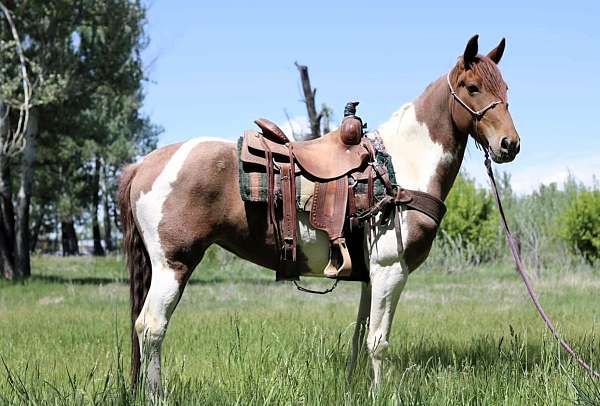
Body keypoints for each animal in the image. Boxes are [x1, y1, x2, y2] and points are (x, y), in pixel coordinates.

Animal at [118, 35, 520, 396]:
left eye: (505, 87)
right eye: (472, 87)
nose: (510, 144)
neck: (400, 167)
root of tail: (142, 166)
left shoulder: (371, 276)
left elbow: (360, 337)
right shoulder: (391, 270)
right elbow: (379, 341)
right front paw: (381, 395)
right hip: (174, 264)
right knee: (151, 326)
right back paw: (156, 395)